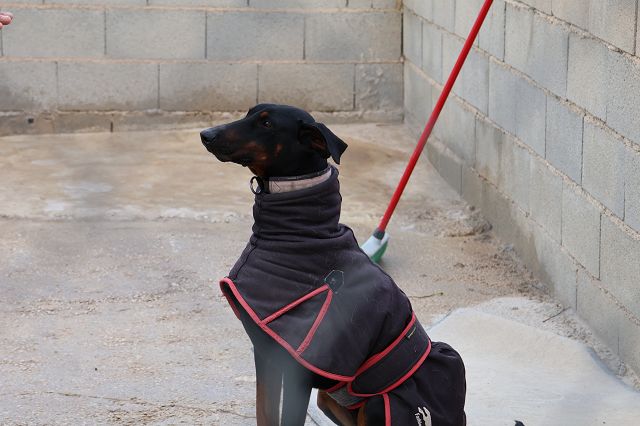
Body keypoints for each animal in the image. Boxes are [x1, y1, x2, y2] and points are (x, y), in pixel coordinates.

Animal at [201, 104, 467, 425]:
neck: (299, 235)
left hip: (379, 404)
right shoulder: (265, 357)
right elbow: (264, 414)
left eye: (266, 123)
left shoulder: (298, 369)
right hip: (329, 399)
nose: (205, 134)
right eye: (249, 113)